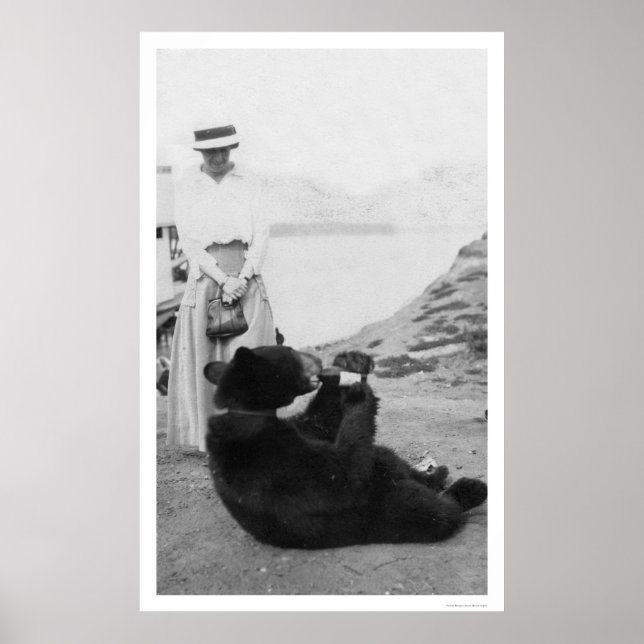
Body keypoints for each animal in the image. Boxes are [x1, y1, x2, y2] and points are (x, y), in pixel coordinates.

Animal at [203, 345, 487, 549]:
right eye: (292, 351)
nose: (318, 361)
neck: (247, 412)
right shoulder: (272, 460)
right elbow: (341, 477)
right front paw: (357, 395)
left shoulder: (296, 430)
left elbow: (320, 423)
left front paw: (348, 364)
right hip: (383, 512)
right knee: (433, 513)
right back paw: (469, 490)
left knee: (386, 456)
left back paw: (436, 474)